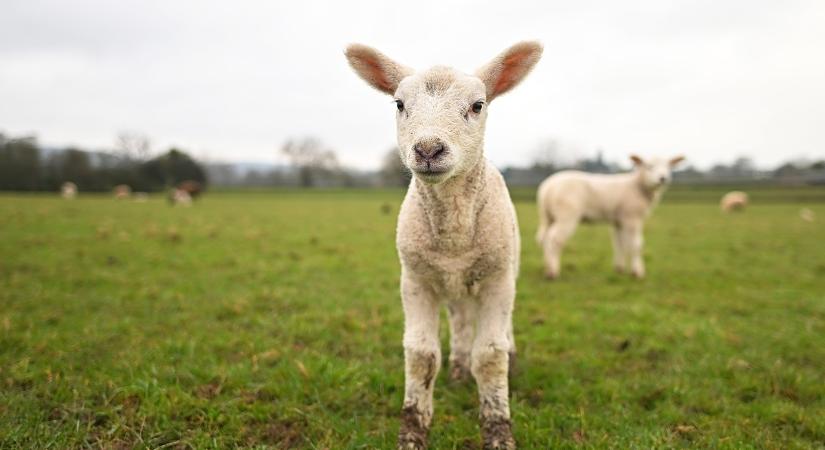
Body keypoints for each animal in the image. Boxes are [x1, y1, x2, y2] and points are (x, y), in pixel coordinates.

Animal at [346, 40, 544, 448]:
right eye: (399, 104)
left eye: (478, 105)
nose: (428, 150)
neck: (454, 237)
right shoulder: (416, 279)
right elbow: (422, 354)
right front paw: (412, 430)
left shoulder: (497, 279)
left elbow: (491, 355)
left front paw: (498, 429)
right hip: (454, 285)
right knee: (461, 321)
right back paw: (458, 369)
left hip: (505, 269)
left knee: (502, 330)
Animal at [536, 156, 684, 280]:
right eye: (649, 166)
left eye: (668, 167)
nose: (663, 178)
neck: (636, 185)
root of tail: (547, 187)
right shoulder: (632, 218)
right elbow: (636, 244)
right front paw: (637, 272)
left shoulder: (618, 221)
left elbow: (619, 243)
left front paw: (620, 269)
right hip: (567, 215)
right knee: (554, 239)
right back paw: (552, 272)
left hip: (547, 217)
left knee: (543, 238)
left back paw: (546, 267)